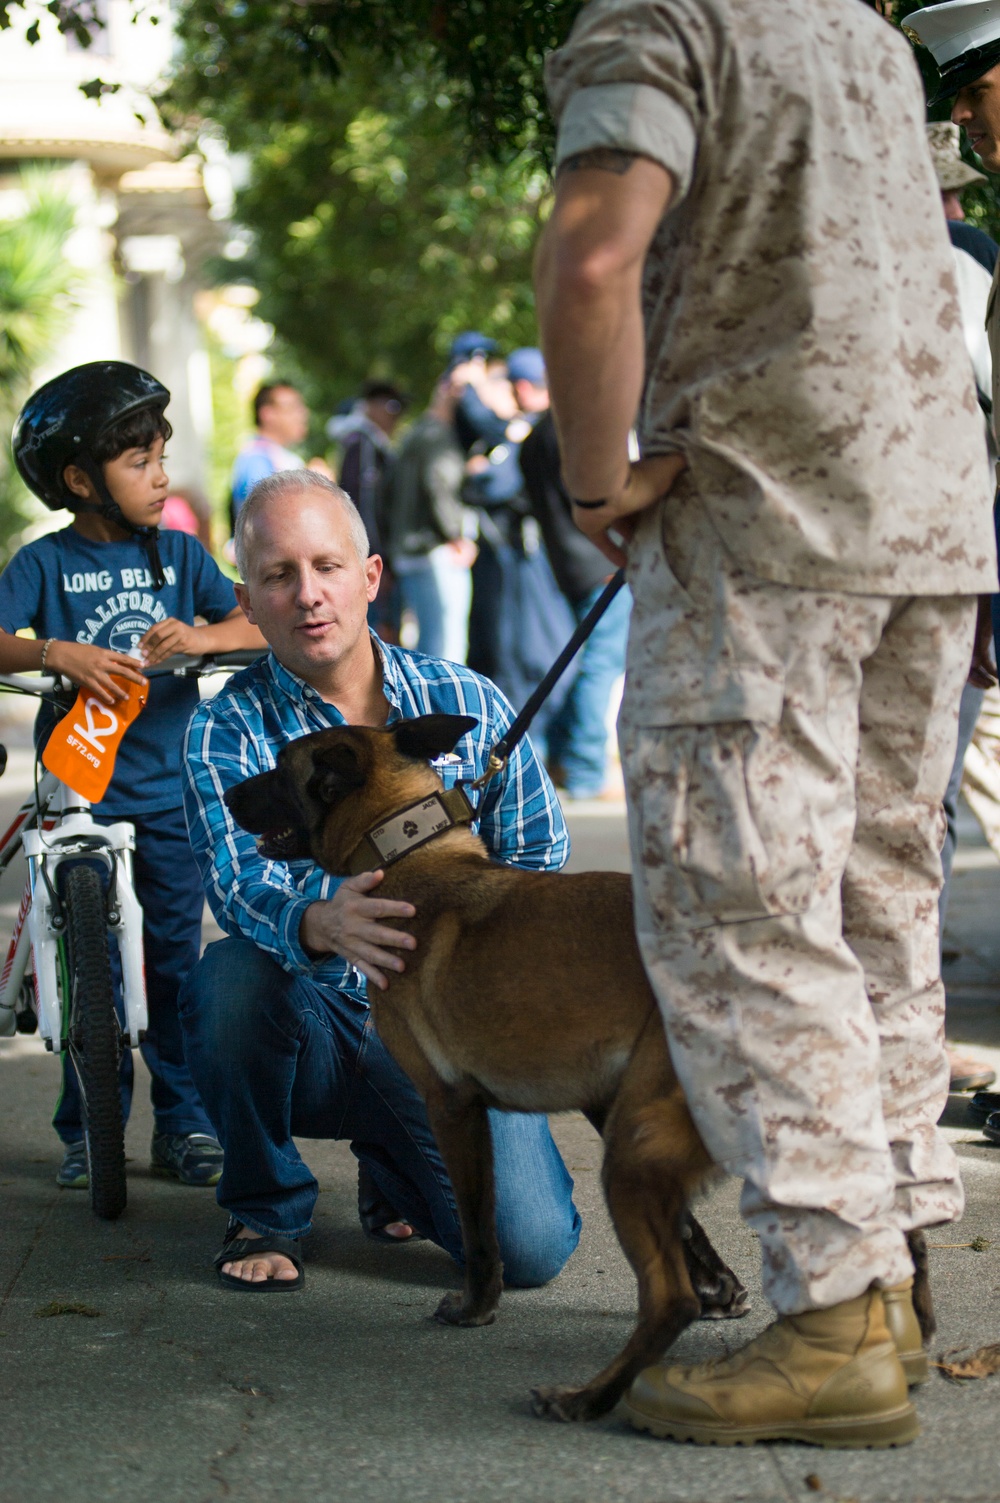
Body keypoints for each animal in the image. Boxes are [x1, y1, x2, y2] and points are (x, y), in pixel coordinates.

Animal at [224, 715, 748, 1418]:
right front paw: (723, 1287)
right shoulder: (605, 1100)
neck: (409, 858)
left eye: (281, 769)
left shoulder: (452, 1107)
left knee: (668, 1301)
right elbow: (690, 1224)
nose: (226, 793)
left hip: (631, 1156)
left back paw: (589, 1398)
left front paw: (475, 1309)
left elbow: (478, 1229)